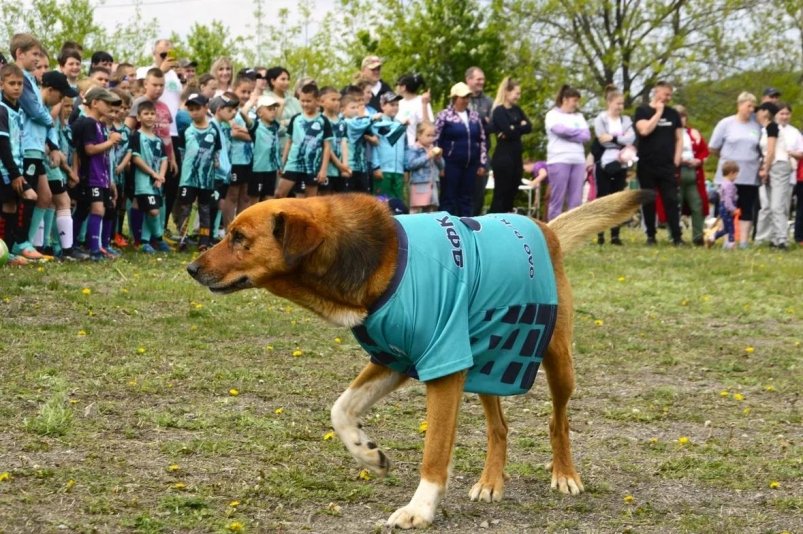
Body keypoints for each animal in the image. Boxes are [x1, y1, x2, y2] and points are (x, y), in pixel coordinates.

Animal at [188, 191, 652, 528]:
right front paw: (367, 453)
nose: (191, 268)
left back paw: (565, 475)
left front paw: (420, 509)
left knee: (559, 422)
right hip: (486, 361)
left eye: (239, 238)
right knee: (499, 427)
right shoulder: (392, 357)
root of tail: (543, 227)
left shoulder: (442, 364)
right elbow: (341, 408)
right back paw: (490, 482)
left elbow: (434, 450)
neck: (376, 257)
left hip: (557, 361)